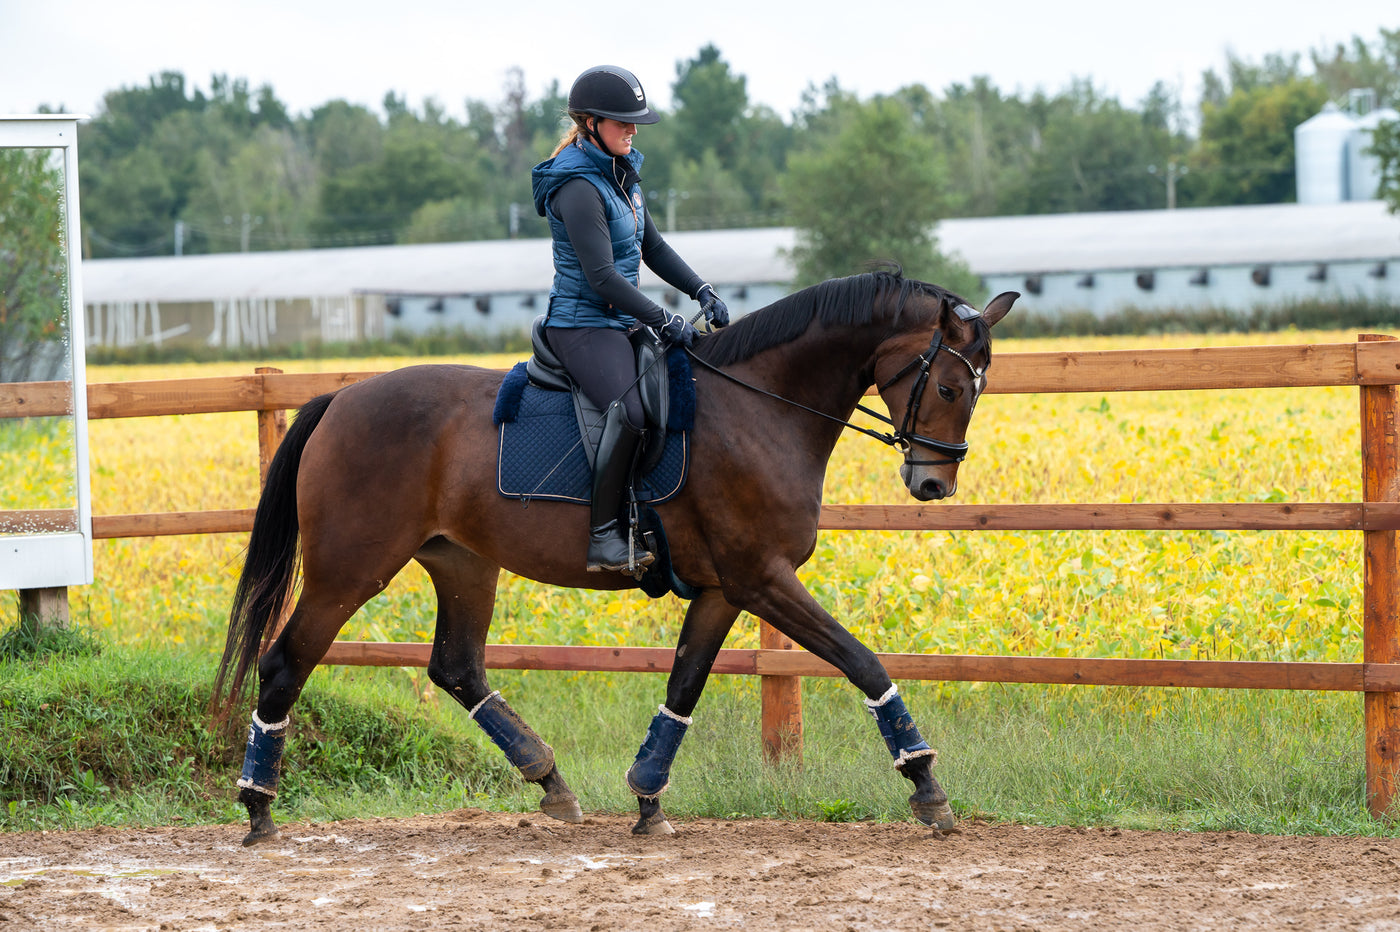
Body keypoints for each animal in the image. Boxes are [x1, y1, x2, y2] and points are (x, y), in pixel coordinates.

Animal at [210, 268, 1019, 839]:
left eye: (979, 389)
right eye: (951, 386)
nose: (934, 483)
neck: (760, 408)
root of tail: (339, 401)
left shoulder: (724, 589)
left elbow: (684, 687)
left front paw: (647, 798)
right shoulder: (762, 578)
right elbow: (862, 661)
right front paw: (925, 783)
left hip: (463, 562)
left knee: (457, 667)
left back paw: (551, 782)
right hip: (350, 570)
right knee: (283, 666)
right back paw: (258, 808)